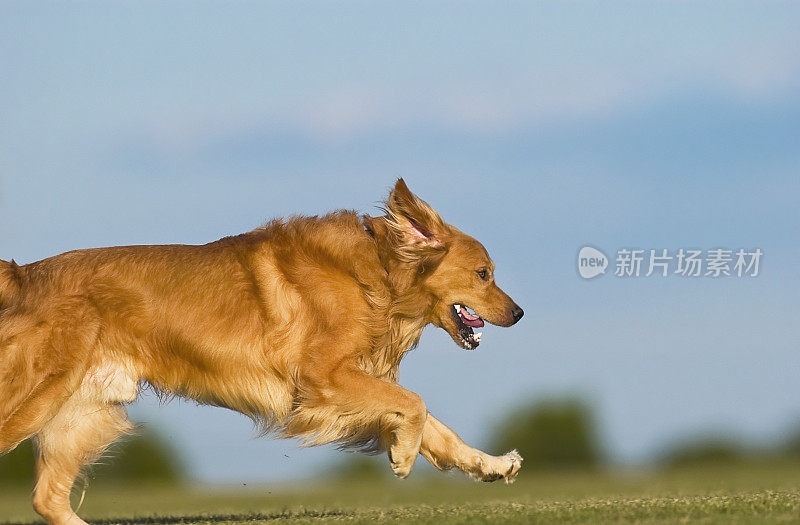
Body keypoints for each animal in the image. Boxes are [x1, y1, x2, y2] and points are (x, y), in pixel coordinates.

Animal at [0, 180, 524, 524]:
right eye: (484, 274)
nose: (519, 312)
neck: (375, 271)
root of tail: (25, 274)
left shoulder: (356, 383)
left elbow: (437, 425)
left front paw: (491, 464)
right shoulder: (322, 379)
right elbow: (416, 405)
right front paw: (403, 454)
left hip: (85, 415)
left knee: (48, 499)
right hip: (35, 401)